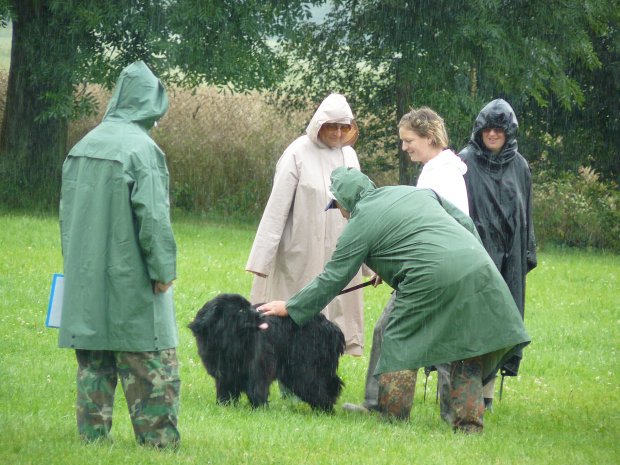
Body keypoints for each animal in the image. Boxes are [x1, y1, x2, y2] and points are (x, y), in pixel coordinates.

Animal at [186, 292, 346, 412]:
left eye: (249, 306)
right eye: (241, 310)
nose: (261, 315)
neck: (229, 344)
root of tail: (331, 327)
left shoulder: (257, 368)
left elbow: (256, 389)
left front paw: (258, 409)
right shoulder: (224, 374)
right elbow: (225, 391)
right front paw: (224, 407)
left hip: (305, 368)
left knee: (319, 386)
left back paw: (325, 410)